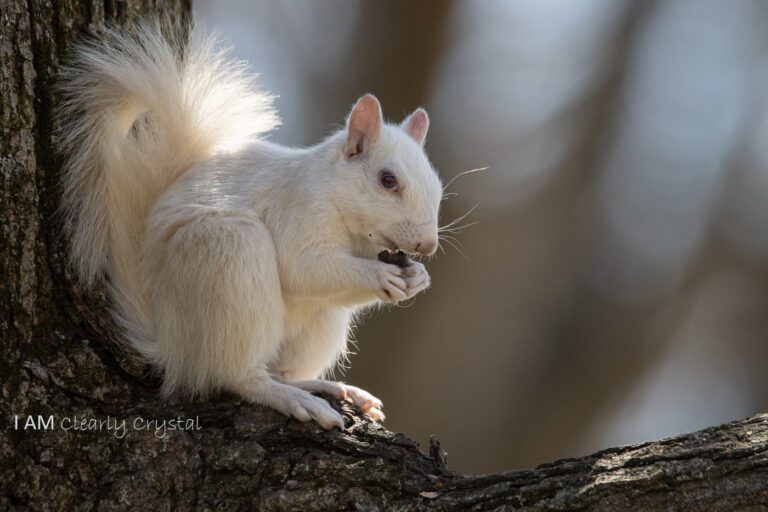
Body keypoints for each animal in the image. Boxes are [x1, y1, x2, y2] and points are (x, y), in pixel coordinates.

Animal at [57, 20, 440, 428]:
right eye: (387, 180)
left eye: (436, 183)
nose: (427, 245)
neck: (353, 228)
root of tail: (171, 345)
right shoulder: (299, 207)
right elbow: (303, 269)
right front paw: (380, 275)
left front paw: (418, 277)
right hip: (231, 260)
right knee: (238, 376)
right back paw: (289, 397)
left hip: (319, 325)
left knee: (282, 368)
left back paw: (327, 387)